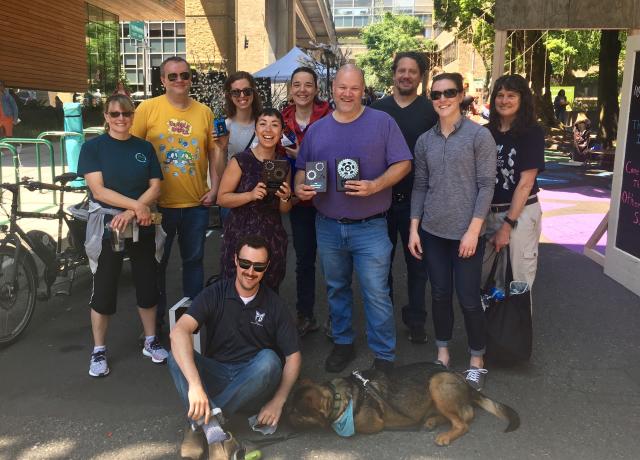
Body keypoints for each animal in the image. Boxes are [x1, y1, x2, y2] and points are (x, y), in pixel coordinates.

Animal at [290, 362, 520, 446]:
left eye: (296, 412)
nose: (285, 419)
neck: (338, 395)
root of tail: (462, 380)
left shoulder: (372, 425)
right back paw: (432, 421)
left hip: (437, 383)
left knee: (465, 420)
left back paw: (445, 436)